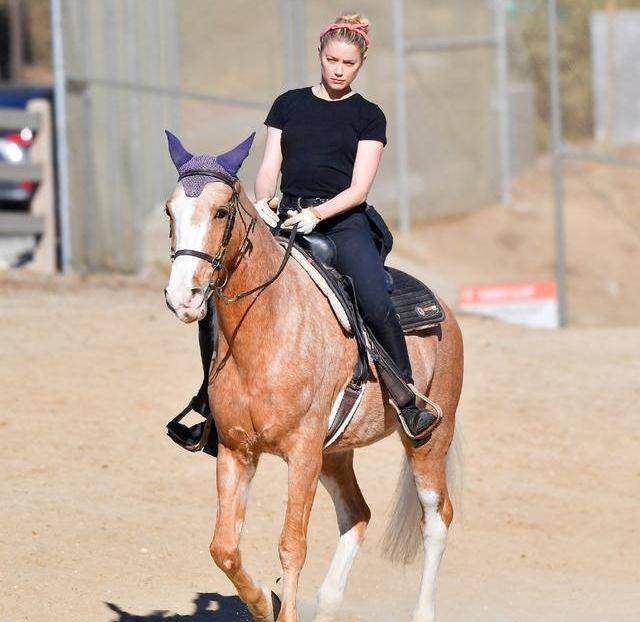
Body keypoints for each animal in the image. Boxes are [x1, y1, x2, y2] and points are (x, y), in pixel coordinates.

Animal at [162, 133, 462, 622]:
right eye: (170, 212)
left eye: (222, 211)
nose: (182, 297)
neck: (266, 333)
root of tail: (445, 312)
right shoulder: (236, 450)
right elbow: (224, 548)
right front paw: (265, 602)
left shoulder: (302, 453)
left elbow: (292, 546)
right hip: (335, 453)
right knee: (358, 514)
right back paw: (328, 602)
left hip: (428, 440)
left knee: (436, 520)